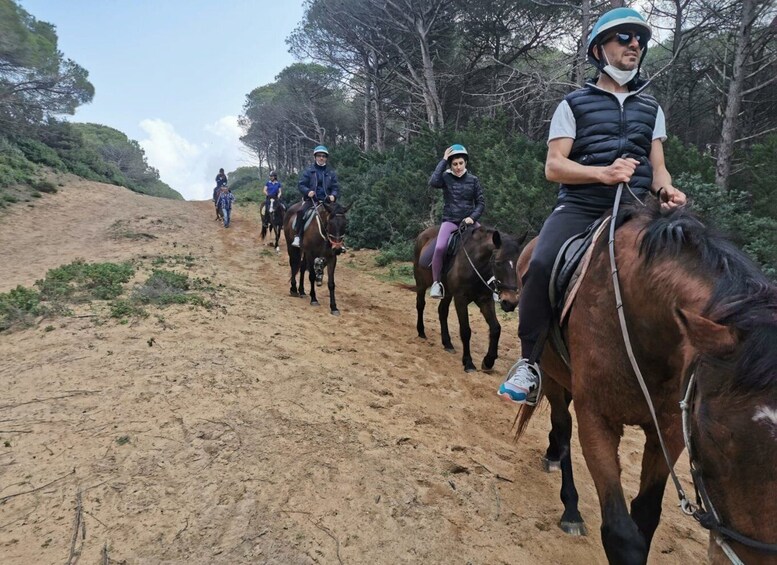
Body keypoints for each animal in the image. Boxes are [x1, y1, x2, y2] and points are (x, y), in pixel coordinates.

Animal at [412, 223, 528, 372]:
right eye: (497, 263)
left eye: (518, 264)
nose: (511, 302)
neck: (475, 264)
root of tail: (423, 234)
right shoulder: (460, 299)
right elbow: (465, 330)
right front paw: (468, 363)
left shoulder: (485, 300)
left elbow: (496, 328)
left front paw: (488, 361)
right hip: (421, 283)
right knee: (420, 305)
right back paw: (421, 332)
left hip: (447, 293)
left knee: (442, 312)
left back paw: (447, 343)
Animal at [516, 198, 776, 564]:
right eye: (714, 436)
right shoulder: (597, 420)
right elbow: (621, 534)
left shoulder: (669, 429)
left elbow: (647, 515)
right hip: (552, 376)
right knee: (563, 426)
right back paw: (571, 508)